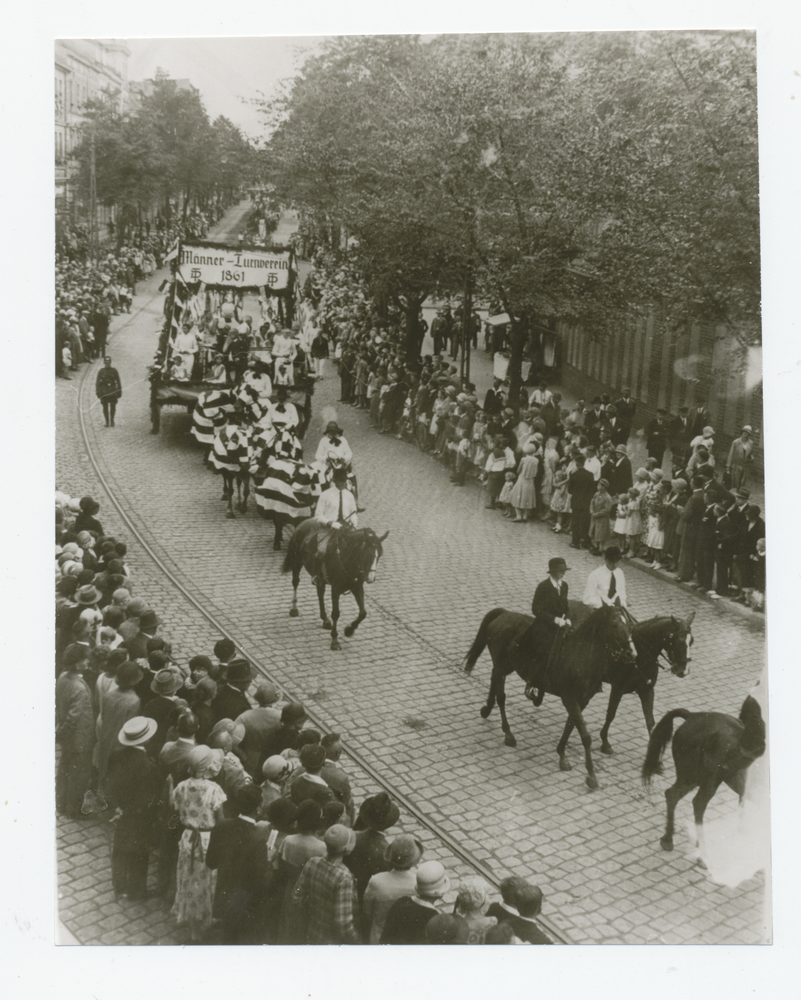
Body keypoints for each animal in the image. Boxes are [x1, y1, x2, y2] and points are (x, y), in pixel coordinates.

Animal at [282, 520, 388, 652]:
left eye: (380, 554)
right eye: (367, 554)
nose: (371, 578)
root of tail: (304, 522)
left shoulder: (357, 587)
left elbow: (363, 612)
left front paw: (349, 630)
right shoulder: (336, 589)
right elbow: (336, 613)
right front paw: (335, 640)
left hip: (320, 579)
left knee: (320, 593)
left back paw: (325, 620)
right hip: (297, 561)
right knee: (295, 582)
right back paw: (294, 608)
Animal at [462, 600, 636, 788]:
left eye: (630, 626)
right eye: (614, 625)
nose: (631, 654)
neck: (580, 654)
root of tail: (505, 613)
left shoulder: (583, 700)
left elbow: (570, 725)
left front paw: (562, 754)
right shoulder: (569, 698)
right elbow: (585, 735)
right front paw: (591, 775)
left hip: (506, 666)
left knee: (494, 681)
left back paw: (487, 709)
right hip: (501, 664)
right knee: (501, 696)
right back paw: (508, 733)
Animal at [564, 600, 692, 752]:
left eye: (692, 641)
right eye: (678, 640)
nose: (683, 671)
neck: (640, 655)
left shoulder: (647, 690)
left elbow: (650, 721)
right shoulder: (618, 688)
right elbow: (611, 714)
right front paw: (605, 742)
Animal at [640, 696, 764, 860]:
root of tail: (691, 716)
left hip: (701, 777)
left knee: (674, 795)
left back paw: (669, 839)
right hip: (703, 777)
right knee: (696, 802)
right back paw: (700, 850)